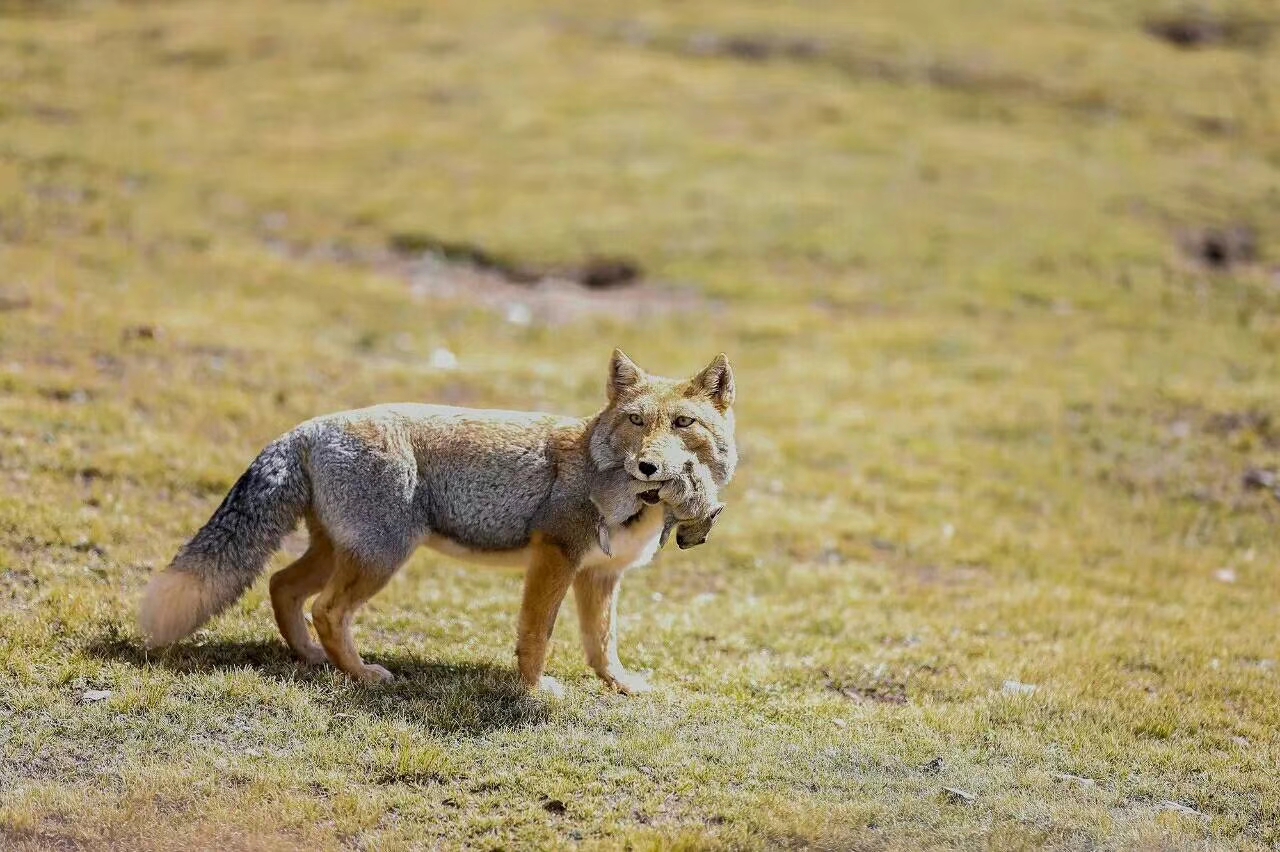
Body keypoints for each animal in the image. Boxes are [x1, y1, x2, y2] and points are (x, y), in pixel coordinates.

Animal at [135, 347, 737, 695]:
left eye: (683, 423)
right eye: (636, 421)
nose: (648, 466)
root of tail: (312, 425)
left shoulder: (599, 574)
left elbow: (601, 642)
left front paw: (621, 685)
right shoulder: (555, 557)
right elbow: (537, 632)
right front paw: (534, 691)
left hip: (341, 551)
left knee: (284, 586)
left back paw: (309, 657)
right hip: (381, 557)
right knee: (327, 609)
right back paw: (361, 675)